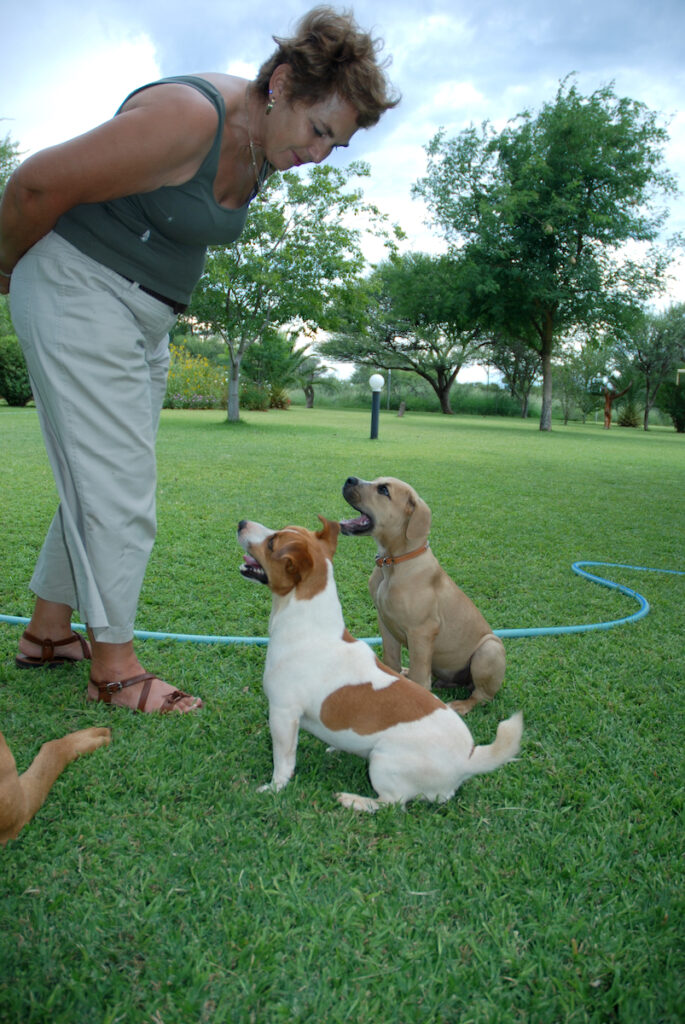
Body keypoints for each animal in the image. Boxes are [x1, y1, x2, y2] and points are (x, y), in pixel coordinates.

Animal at [238, 516, 521, 811]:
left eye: (272, 542)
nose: (241, 522)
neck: (309, 626)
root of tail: (467, 761)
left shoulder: (282, 714)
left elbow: (283, 762)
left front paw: (273, 788)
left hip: (383, 762)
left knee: (391, 803)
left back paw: (353, 800)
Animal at [340, 476, 506, 715]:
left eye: (384, 490)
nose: (349, 479)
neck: (393, 563)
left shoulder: (422, 631)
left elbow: (420, 677)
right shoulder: (385, 623)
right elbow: (391, 661)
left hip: (490, 648)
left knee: (482, 696)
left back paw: (461, 705)